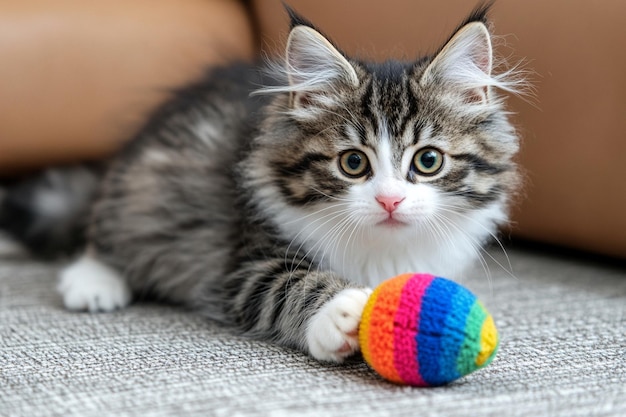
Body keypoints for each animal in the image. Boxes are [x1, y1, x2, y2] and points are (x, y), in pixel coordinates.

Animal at [2, 4, 520, 360]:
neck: (380, 250)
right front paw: (343, 311)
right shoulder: (244, 261)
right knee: (103, 230)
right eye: (353, 163)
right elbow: (288, 284)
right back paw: (93, 281)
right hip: (145, 186)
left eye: (428, 160)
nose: (390, 201)